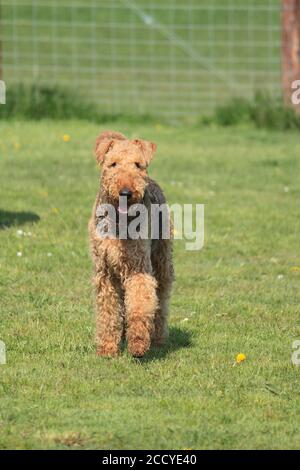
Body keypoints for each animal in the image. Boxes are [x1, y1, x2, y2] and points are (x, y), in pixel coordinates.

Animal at [88, 130, 173, 358]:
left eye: (137, 164)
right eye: (113, 164)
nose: (126, 192)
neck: (119, 223)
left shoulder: (139, 269)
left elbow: (140, 305)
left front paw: (138, 344)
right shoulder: (105, 274)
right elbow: (109, 312)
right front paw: (108, 348)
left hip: (162, 261)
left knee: (161, 301)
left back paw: (157, 337)